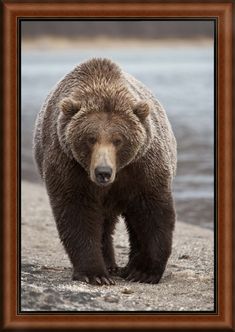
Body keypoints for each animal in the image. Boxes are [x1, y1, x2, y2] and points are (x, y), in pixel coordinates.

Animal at [33, 57, 176, 286]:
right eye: (90, 138)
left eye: (118, 140)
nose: (103, 172)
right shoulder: (69, 165)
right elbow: (76, 212)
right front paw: (95, 274)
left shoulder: (142, 166)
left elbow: (152, 211)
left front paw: (143, 272)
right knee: (103, 224)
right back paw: (109, 265)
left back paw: (127, 267)